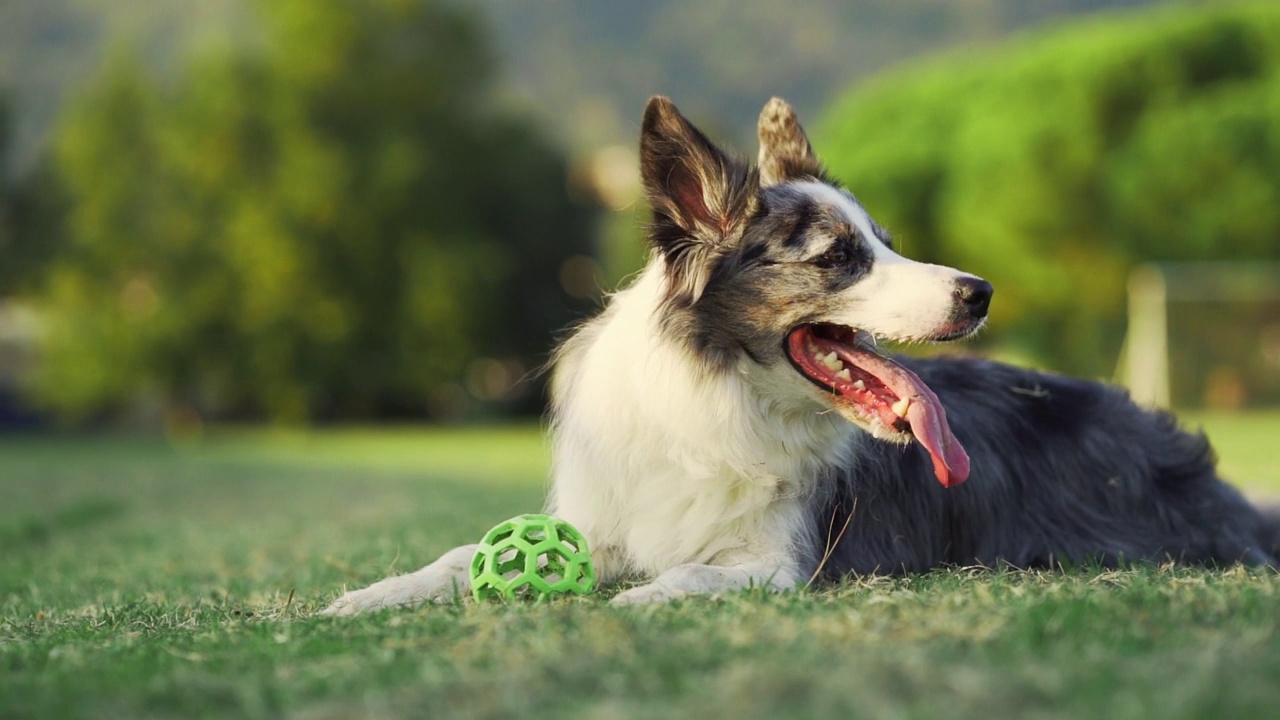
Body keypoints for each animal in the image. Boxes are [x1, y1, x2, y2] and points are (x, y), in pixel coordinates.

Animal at [317, 94, 1269, 609]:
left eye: (887, 243)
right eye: (841, 257)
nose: (981, 291)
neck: (718, 394)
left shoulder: (777, 564)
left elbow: (687, 577)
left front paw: (636, 599)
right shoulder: (610, 517)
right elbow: (457, 557)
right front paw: (371, 594)